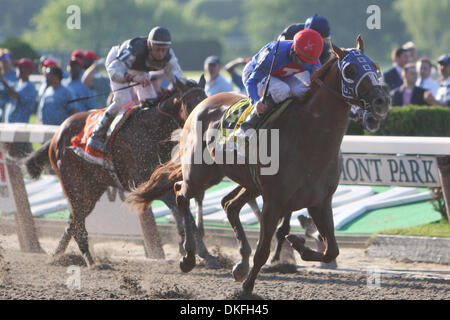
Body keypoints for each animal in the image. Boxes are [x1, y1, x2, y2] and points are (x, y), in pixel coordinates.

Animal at [24, 79, 221, 268]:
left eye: (206, 99)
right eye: (190, 103)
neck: (153, 131)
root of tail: (57, 134)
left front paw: (204, 254)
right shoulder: (142, 182)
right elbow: (179, 207)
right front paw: (191, 248)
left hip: (93, 189)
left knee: (73, 221)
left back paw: (58, 256)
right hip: (74, 185)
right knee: (78, 223)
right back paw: (91, 261)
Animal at [126, 35, 390, 296]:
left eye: (374, 66)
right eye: (350, 70)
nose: (382, 101)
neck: (309, 138)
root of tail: (201, 104)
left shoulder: (320, 201)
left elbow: (331, 249)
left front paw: (298, 244)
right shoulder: (274, 202)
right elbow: (263, 251)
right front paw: (246, 288)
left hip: (247, 181)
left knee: (228, 204)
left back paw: (239, 264)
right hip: (201, 174)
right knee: (181, 193)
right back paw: (189, 257)